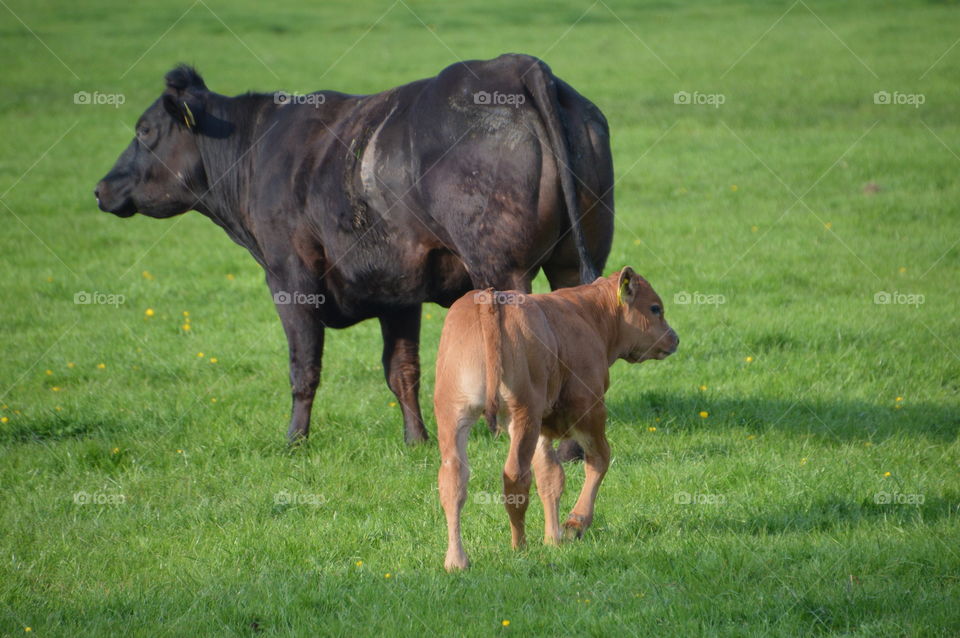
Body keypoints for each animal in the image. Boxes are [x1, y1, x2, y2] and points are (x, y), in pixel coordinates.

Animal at [95, 53, 614, 447]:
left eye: (144, 131)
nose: (101, 188)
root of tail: (515, 65)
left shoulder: (289, 279)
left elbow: (303, 368)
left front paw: (294, 441)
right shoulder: (397, 291)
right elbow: (401, 371)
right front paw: (416, 440)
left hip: (502, 270)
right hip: (570, 262)